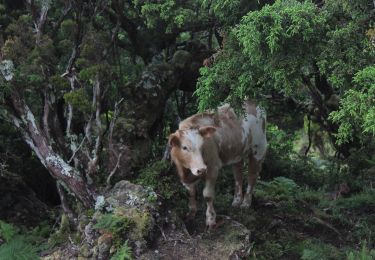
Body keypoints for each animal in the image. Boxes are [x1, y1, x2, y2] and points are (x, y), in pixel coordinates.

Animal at [167, 100, 268, 229]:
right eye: (184, 147)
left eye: (202, 146)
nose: (201, 169)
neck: (186, 170)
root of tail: (251, 100)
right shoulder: (185, 175)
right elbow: (191, 193)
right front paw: (191, 214)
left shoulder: (212, 168)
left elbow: (208, 195)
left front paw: (211, 220)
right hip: (237, 153)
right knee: (238, 175)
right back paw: (236, 201)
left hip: (258, 148)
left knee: (252, 176)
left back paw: (245, 203)